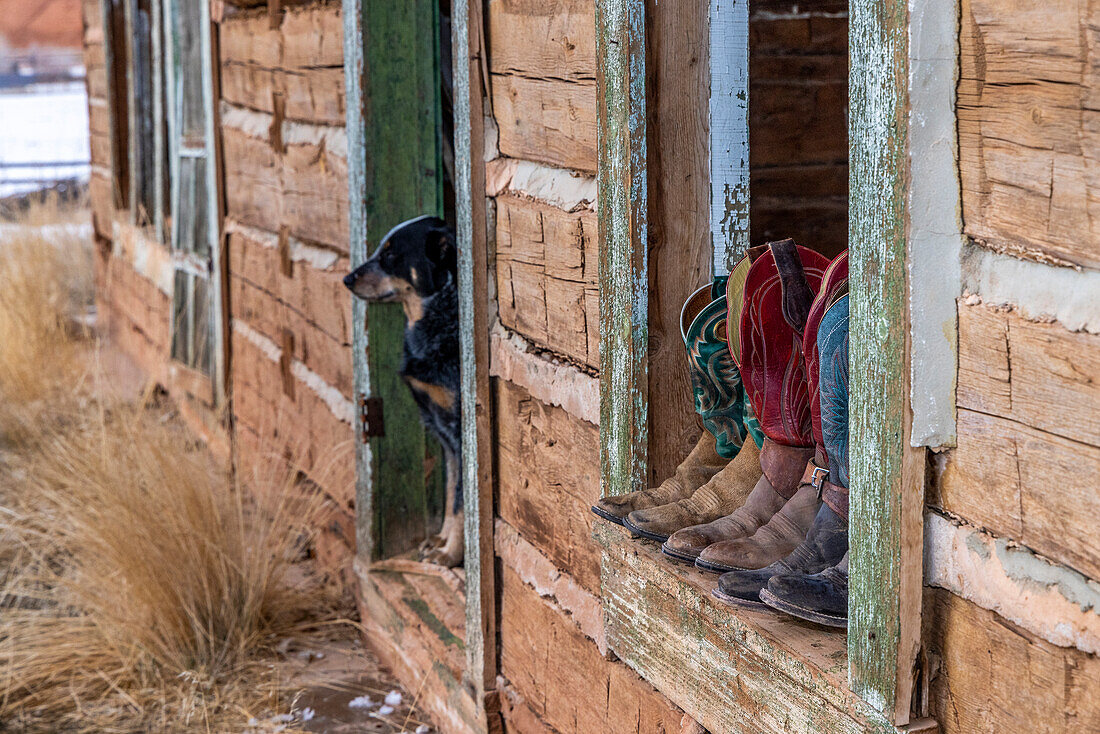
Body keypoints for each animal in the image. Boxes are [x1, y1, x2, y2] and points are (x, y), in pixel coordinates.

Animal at [343, 213, 464, 567]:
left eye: (391, 254)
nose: (346, 278)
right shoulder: (443, 433)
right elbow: (451, 491)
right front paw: (442, 540)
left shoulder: (459, 429)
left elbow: (461, 501)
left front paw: (451, 553)